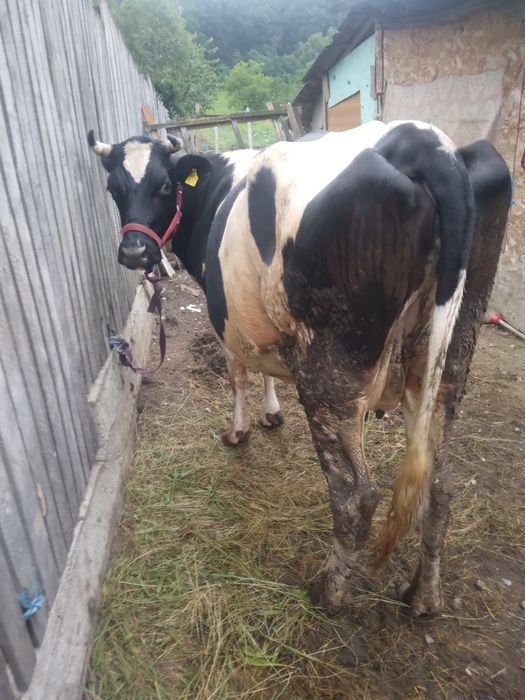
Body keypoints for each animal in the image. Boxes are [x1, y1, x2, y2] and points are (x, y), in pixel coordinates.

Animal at [88, 121, 511, 615]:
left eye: (162, 185)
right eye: (114, 188)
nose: (135, 252)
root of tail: (423, 138)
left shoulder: (226, 318)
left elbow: (239, 372)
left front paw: (239, 431)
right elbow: (265, 365)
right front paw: (272, 413)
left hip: (330, 374)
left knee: (356, 495)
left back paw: (329, 592)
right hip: (446, 359)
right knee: (440, 486)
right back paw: (423, 596)